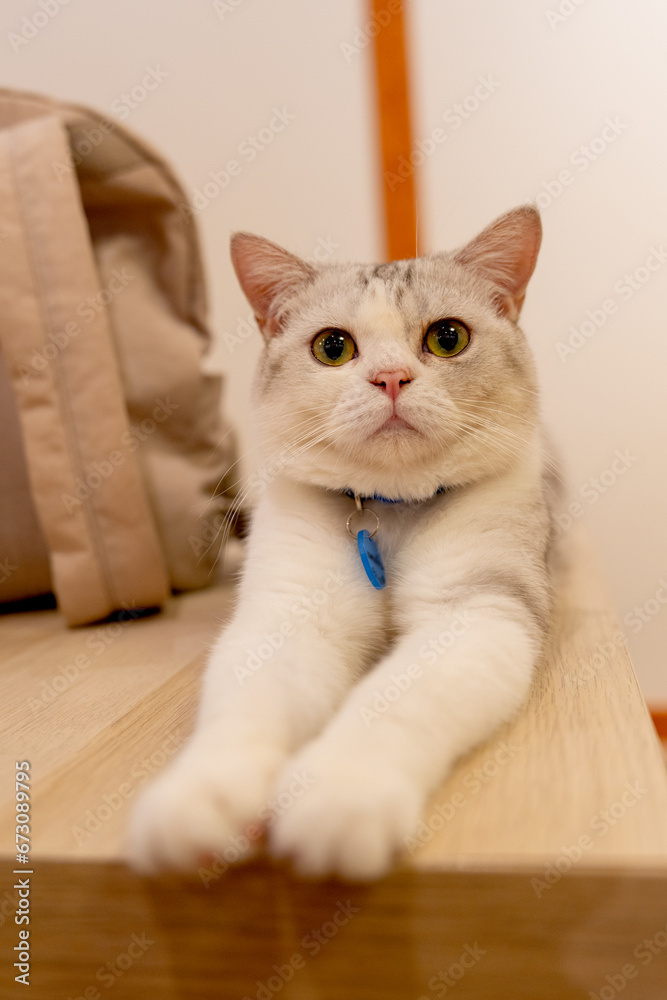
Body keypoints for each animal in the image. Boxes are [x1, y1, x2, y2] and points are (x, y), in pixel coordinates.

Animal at [128, 207, 556, 880]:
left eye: (448, 338)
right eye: (333, 347)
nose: (390, 378)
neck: (390, 513)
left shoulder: (477, 613)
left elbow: (392, 704)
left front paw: (337, 797)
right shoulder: (289, 615)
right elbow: (246, 709)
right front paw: (198, 799)